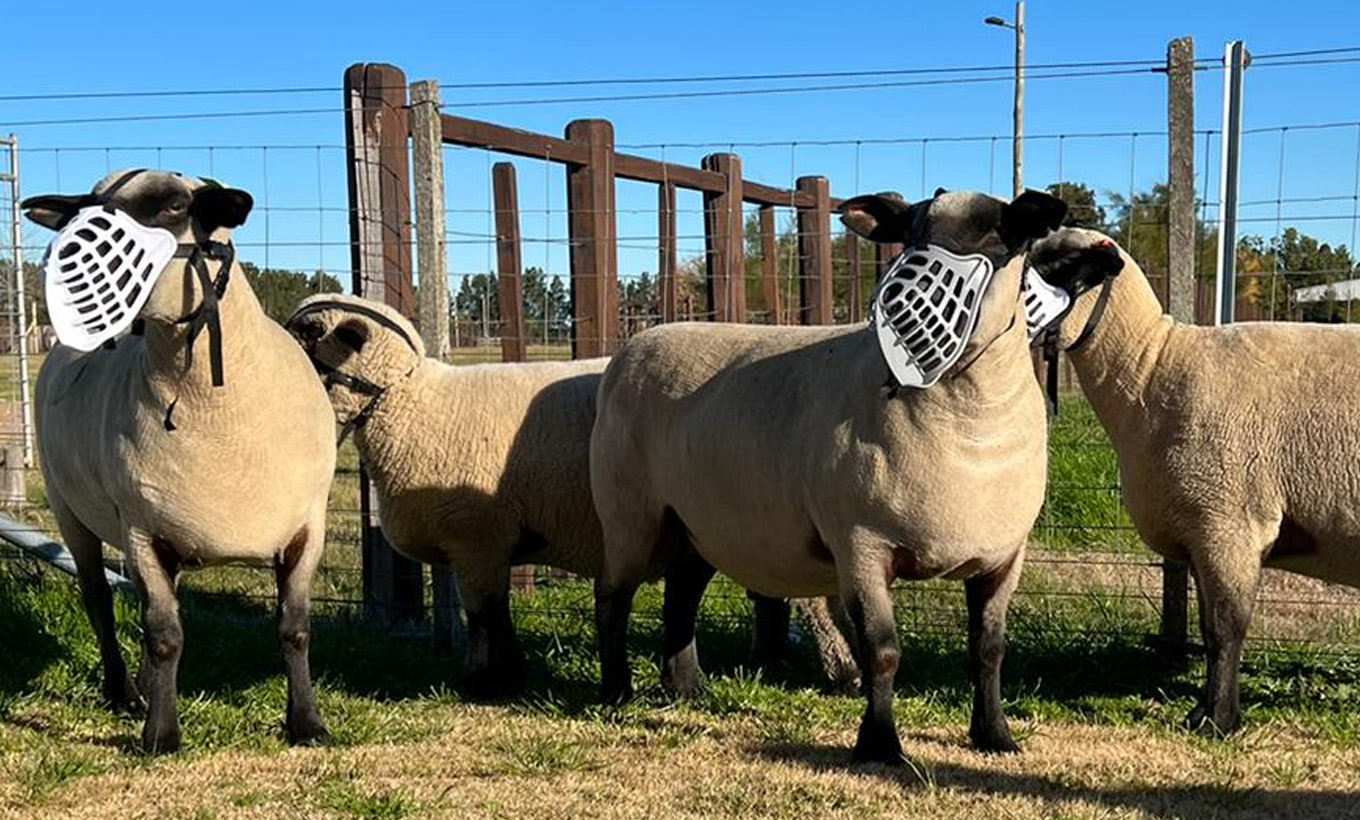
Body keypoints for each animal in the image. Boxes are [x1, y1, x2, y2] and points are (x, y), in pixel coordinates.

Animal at [24, 169, 337, 756]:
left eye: (173, 206)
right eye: (82, 207)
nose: (65, 257)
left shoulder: (307, 528)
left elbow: (296, 628)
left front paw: (307, 725)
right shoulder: (141, 530)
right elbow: (165, 634)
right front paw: (161, 735)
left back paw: (145, 687)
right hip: (69, 509)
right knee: (100, 601)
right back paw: (124, 693)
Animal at [284, 295, 859, 701]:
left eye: (308, 333)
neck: (411, 401)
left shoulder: (477, 537)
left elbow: (485, 613)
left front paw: (491, 679)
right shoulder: (481, 542)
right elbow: (490, 613)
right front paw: (497, 673)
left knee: (815, 600)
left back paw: (844, 672)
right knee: (689, 601)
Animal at [590, 187, 1066, 761]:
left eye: (998, 236)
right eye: (908, 235)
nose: (897, 305)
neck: (968, 425)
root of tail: (635, 345)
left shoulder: (1003, 556)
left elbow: (989, 650)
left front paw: (995, 736)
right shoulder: (862, 543)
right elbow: (882, 651)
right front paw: (880, 746)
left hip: (698, 523)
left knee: (680, 596)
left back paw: (688, 689)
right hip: (629, 510)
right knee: (613, 597)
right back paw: (616, 692)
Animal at [1022, 225, 1360, 739]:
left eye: (1061, 265)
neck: (1150, 369)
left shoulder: (1228, 523)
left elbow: (1225, 629)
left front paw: (1218, 721)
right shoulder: (1201, 534)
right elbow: (1208, 629)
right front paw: (1208, 712)